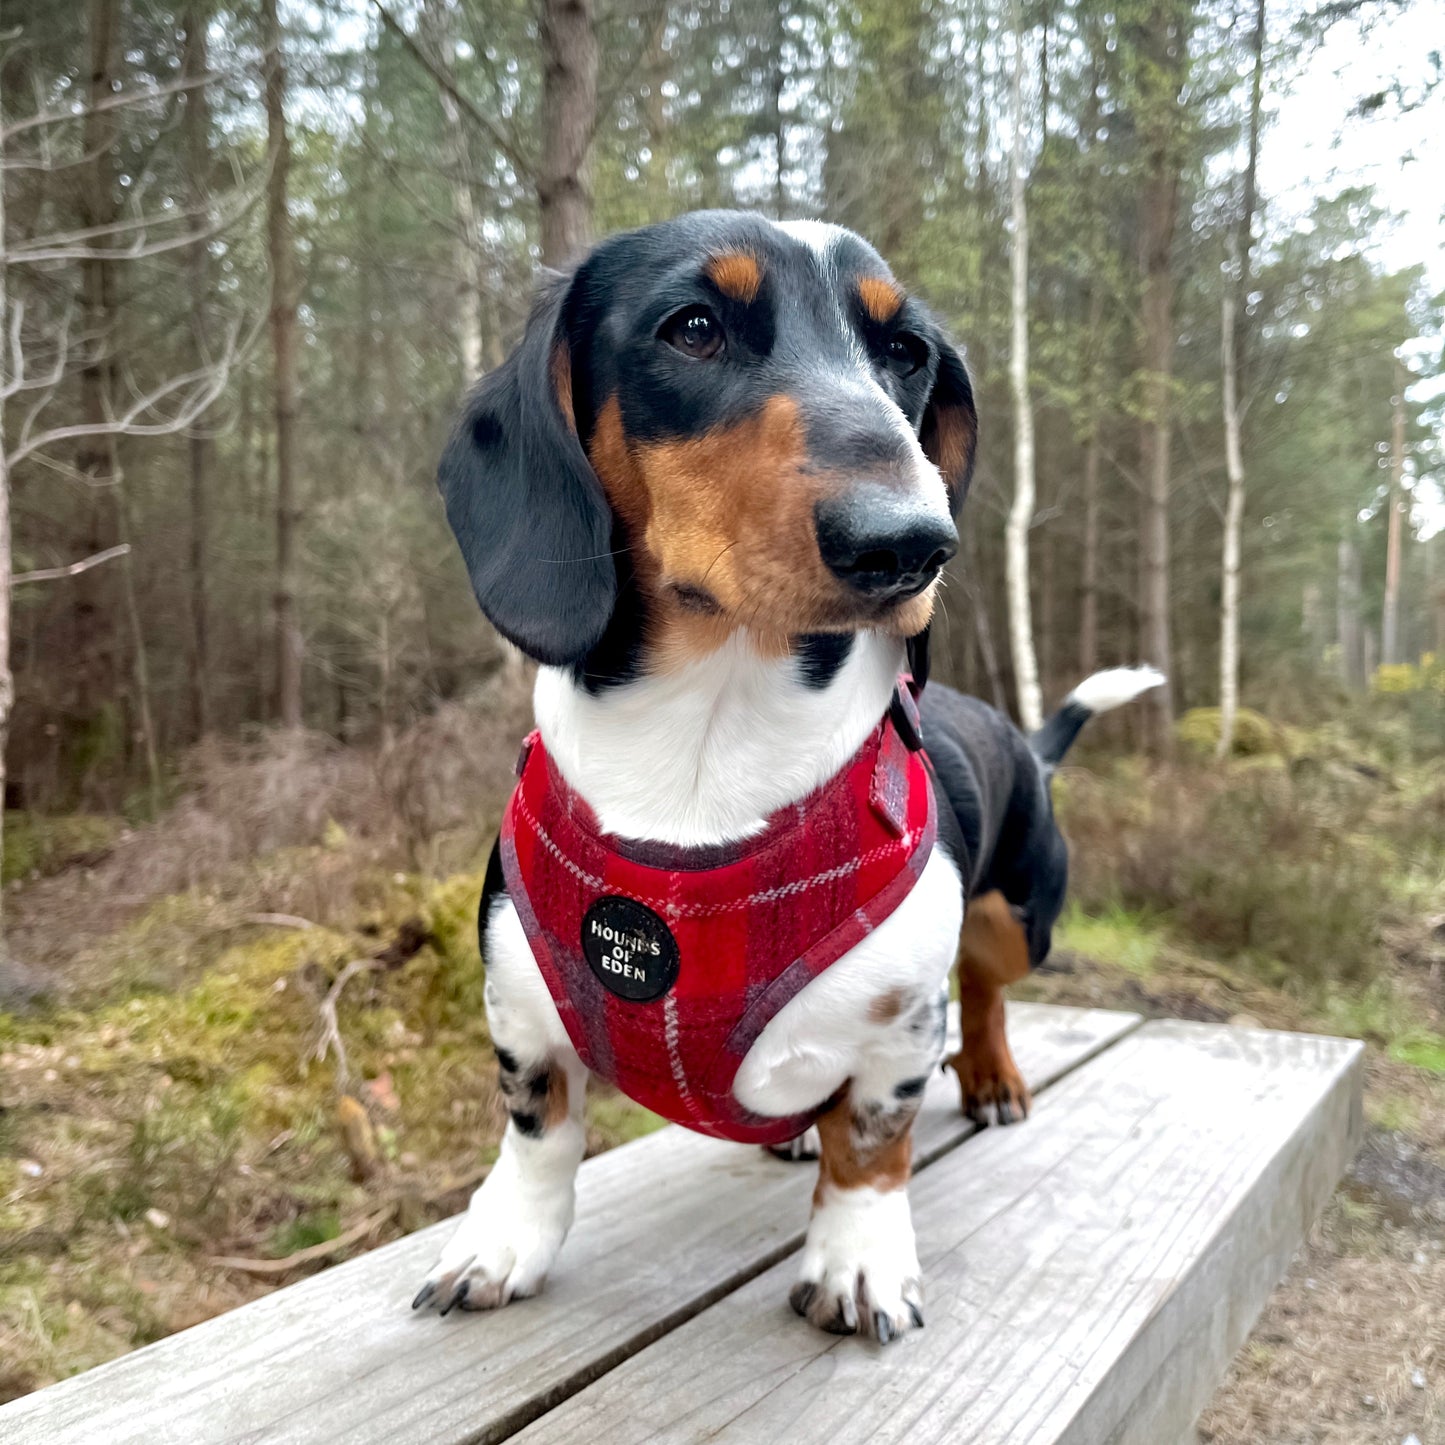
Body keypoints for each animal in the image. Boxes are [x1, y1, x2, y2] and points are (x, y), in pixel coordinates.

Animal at [413, 210, 1156, 1340]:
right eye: (693, 327)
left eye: (905, 351)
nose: (910, 542)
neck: (704, 745)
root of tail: (1021, 737)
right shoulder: (521, 1013)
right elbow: (538, 1131)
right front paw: (502, 1241)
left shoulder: (898, 1027)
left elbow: (873, 1143)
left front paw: (857, 1261)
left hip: (1017, 913)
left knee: (984, 988)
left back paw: (988, 1077)